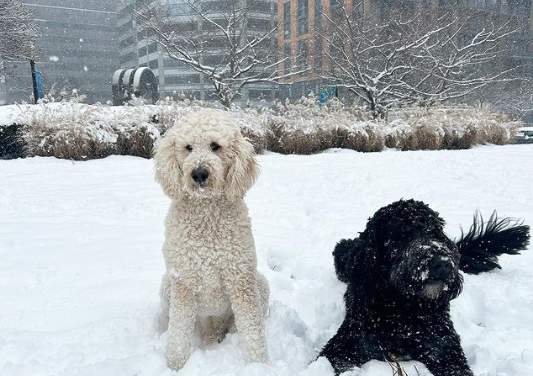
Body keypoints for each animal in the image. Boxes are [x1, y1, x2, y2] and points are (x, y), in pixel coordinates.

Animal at [154, 110, 270, 372]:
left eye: (215, 146)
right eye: (188, 147)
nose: (198, 173)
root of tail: (212, 329)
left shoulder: (241, 280)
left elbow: (253, 332)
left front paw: (259, 366)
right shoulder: (184, 282)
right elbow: (178, 334)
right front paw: (174, 366)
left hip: (260, 283)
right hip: (167, 285)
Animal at [318, 200, 528, 374]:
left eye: (434, 233)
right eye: (402, 235)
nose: (441, 262)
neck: (403, 309)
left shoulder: (443, 345)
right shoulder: (348, 343)